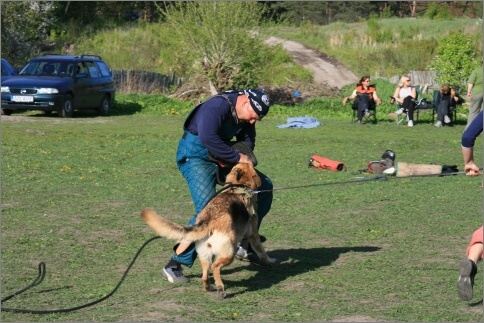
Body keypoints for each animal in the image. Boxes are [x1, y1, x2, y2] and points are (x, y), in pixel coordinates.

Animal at [141, 165, 276, 298]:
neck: (238, 186)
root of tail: (208, 221)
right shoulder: (253, 235)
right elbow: (262, 252)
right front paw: (270, 261)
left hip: (204, 256)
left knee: (205, 276)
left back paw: (209, 288)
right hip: (229, 253)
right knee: (215, 267)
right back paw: (220, 289)